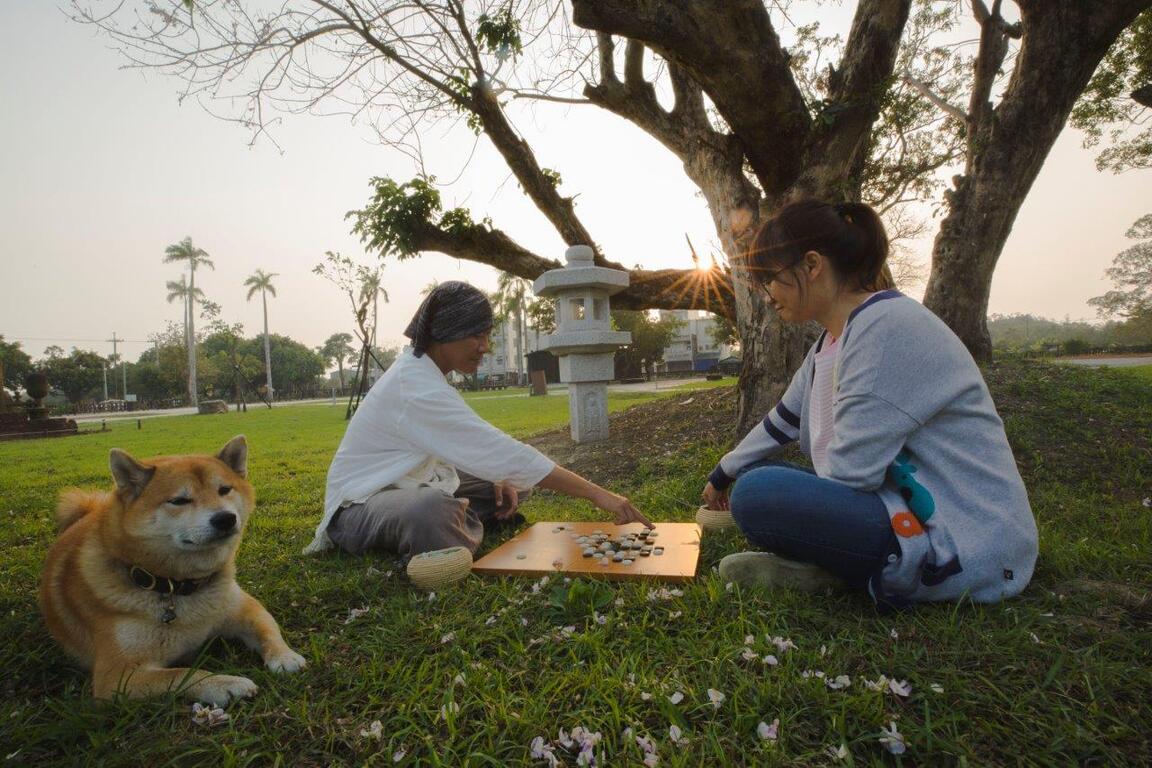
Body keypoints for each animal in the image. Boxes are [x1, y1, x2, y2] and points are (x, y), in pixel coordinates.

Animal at [40, 435, 304, 704]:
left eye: (224, 490)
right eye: (179, 501)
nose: (225, 518)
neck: (175, 585)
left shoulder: (243, 607)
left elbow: (267, 629)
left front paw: (284, 656)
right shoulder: (115, 678)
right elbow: (181, 674)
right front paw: (225, 684)